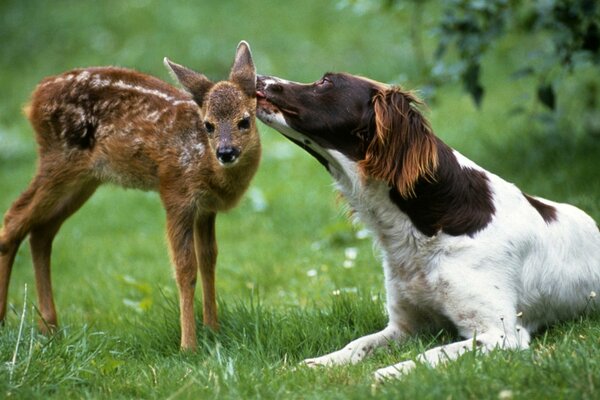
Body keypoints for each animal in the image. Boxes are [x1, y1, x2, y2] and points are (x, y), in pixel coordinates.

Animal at [254, 72, 600, 382]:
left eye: (325, 82)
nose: (258, 77)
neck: (426, 228)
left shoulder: (501, 333)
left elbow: (431, 354)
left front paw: (388, 373)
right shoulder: (405, 326)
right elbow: (358, 344)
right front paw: (318, 364)